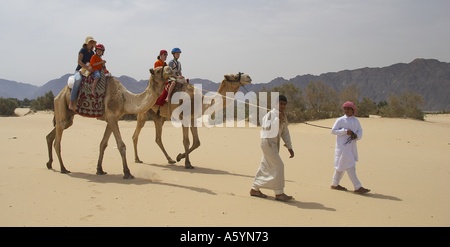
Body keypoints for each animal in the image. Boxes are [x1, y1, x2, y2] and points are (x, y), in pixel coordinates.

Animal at [44, 64, 174, 178]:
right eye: (158, 70)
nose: (170, 69)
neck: (125, 99)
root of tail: (58, 95)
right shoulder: (112, 117)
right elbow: (121, 145)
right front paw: (127, 173)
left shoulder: (111, 119)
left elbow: (103, 144)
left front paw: (99, 170)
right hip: (61, 107)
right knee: (57, 142)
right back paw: (63, 168)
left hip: (68, 117)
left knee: (51, 135)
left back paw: (49, 164)